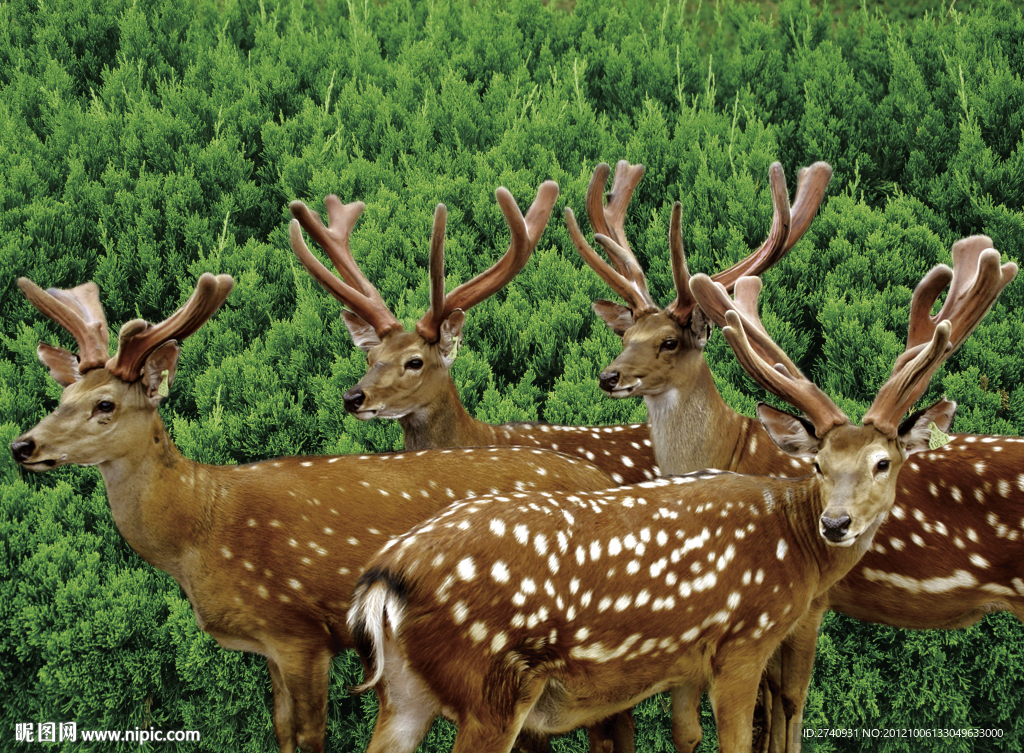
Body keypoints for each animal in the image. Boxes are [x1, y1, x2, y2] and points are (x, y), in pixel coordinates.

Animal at [9, 273, 625, 753]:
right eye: (60, 399)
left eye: (105, 405)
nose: (22, 446)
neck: (201, 528)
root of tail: (603, 480)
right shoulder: (269, 647)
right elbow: (281, 732)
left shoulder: (299, 630)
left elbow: (309, 737)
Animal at [344, 248, 1015, 753]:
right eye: (819, 464)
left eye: (883, 462)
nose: (837, 523)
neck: (792, 547)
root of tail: (385, 580)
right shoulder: (741, 644)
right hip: (492, 691)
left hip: (403, 695)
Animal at [572, 161, 1024, 751]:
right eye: (626, 334)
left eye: (670, 341)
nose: (609, 376)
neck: (732, 446)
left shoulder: (811, 604)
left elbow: (786, 701)